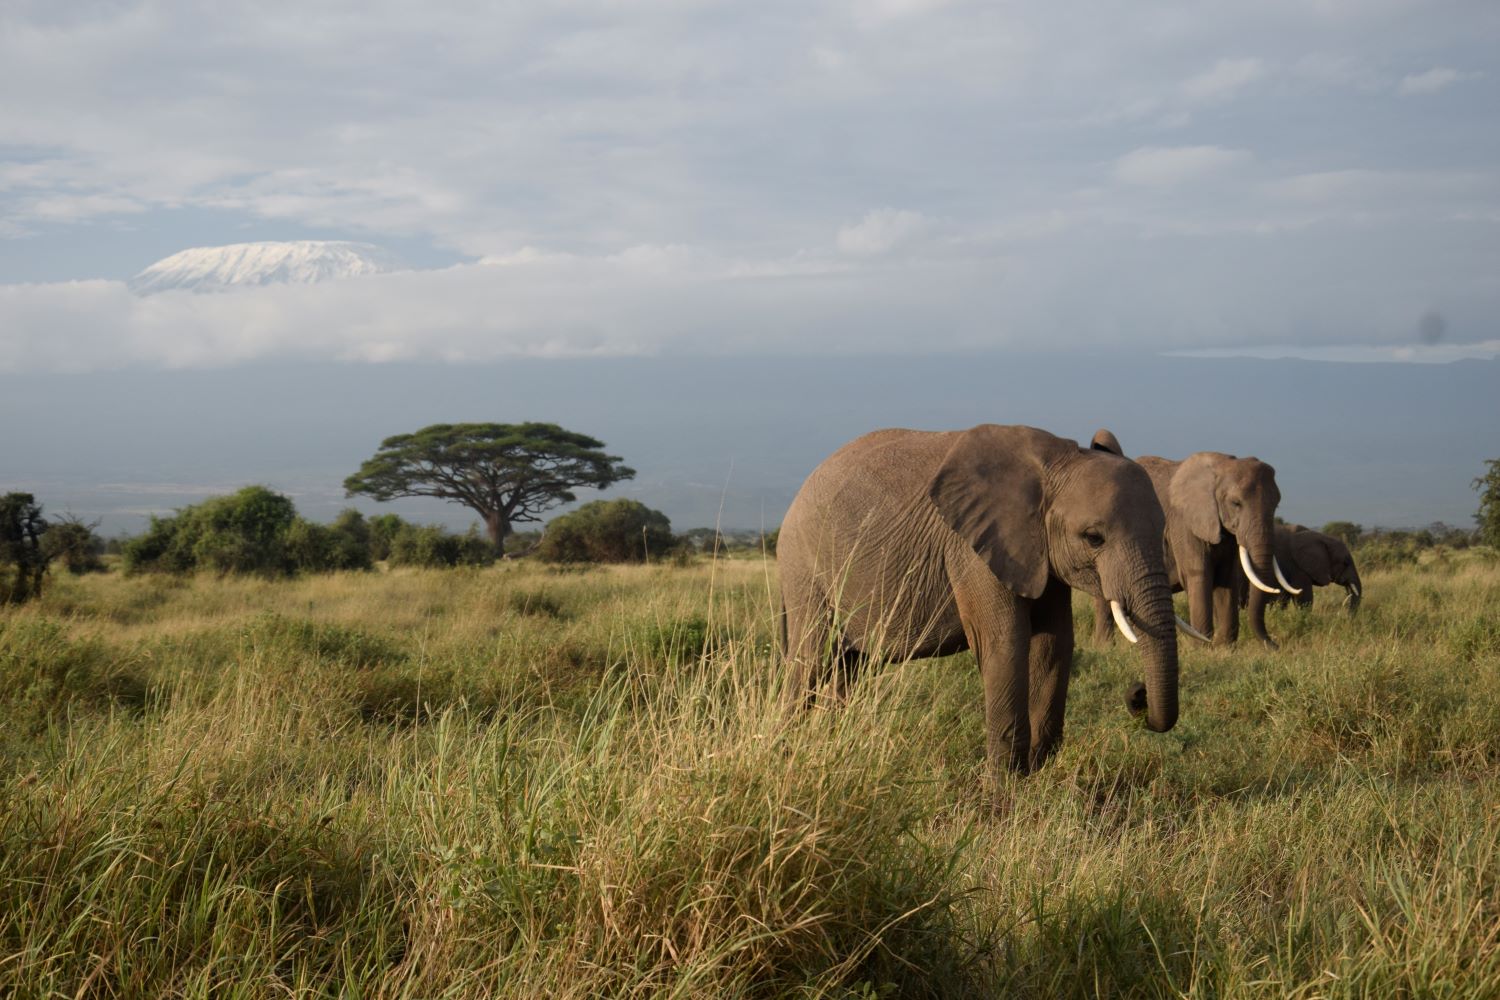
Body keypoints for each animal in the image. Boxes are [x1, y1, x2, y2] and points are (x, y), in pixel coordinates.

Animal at [777, 424, 1181, 808]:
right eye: (1094, 537)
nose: (1137, 694)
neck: (1057, 463)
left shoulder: (1041, 554)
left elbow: (1055, 645)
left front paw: (1037, 777)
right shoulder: (973, 548)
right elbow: (1004, 644)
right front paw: (1006, 796)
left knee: (849, 664)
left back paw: (830, 750)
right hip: (803, 563)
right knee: (810, 658)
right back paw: (789, 750)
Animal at [1089, 434, 1293, 648]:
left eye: (1276, 505)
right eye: (1236, 503)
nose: (1274, 645)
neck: (1222, 466)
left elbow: (1226, 579)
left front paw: (1224, 648)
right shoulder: (1184, 524)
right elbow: (1199, 575)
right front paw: (1203, 648)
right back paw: (1105, 646)